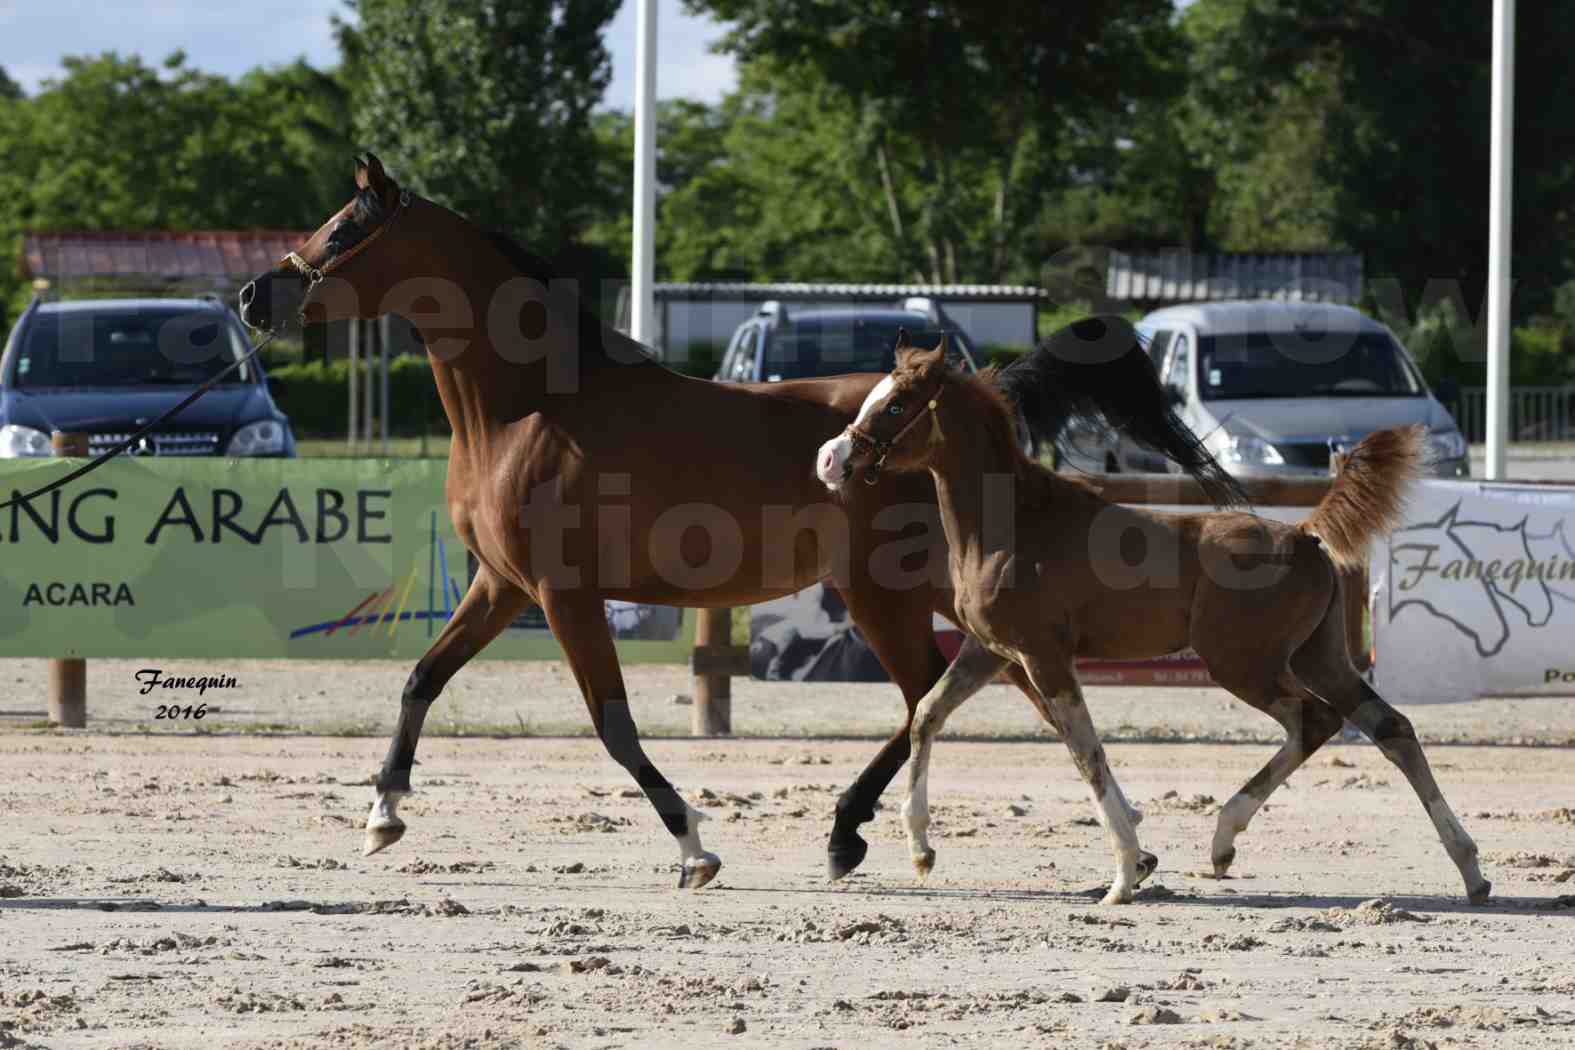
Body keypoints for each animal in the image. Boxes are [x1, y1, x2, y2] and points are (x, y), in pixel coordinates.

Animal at [819, 341, 1493, 906]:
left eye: (896, 404)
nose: (830, 459)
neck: (1012, 524)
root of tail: (1305, 535)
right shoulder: (991, 650)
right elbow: (928, 714)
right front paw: (921, 851)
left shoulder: (1043, 656)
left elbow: (1085, 751)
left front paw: (1124, 876)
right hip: (1318, 656)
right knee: (1388, 727)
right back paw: (1470, 871)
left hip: (1243, 663)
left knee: (1315, 720)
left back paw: (1225, 838)